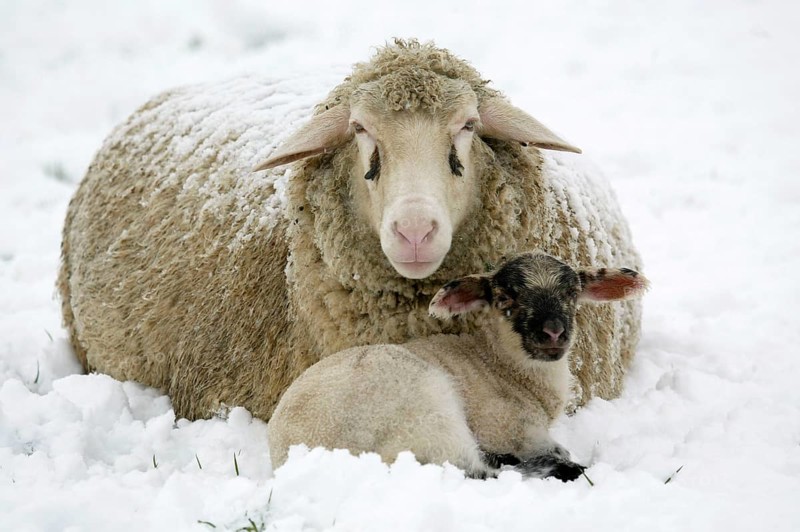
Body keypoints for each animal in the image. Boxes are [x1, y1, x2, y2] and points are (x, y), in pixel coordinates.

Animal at [268, 252, 649, 480]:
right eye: (505, 297)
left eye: (572, 293)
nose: (553, 331)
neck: (499, 365)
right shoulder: (512, 427)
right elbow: (556, 450)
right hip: (423, 409)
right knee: (475, 470)